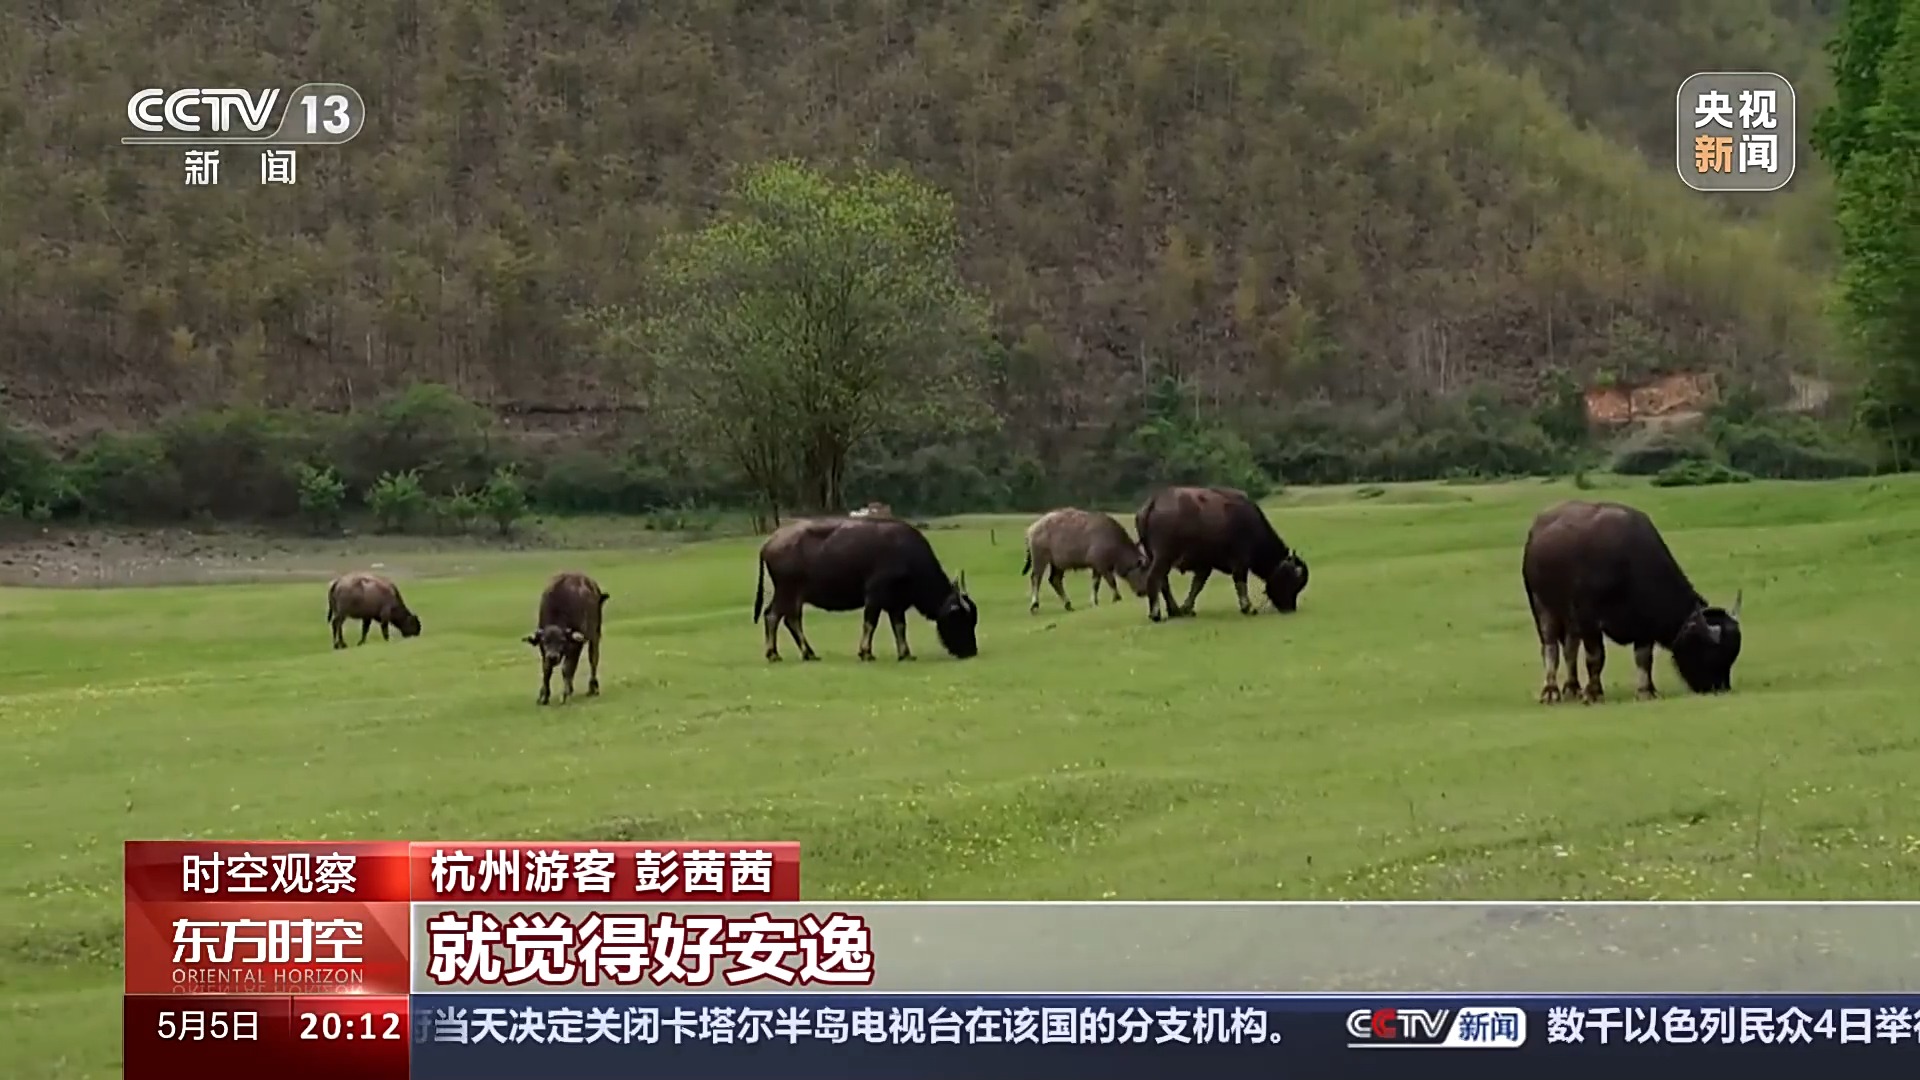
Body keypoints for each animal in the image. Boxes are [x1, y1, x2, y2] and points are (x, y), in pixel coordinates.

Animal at [522, 568, 610, 703]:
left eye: (562, 640)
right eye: (544, 641)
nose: (553, 656)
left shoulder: (576, 644)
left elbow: (567, 668)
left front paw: (564, 694)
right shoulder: (544, 651)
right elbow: (546, 669)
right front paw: (544, 695)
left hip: (595, 633)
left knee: (593, 658)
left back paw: (593, 688)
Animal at [756, 511, 983, 657]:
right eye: (960, 618)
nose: (971, 651)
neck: (907, 556)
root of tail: (770, 542)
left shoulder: (896, 603)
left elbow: (899, 626)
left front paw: (905, 653)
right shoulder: (875, 596)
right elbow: (870, 623)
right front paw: (865, 652)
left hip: (792, 594)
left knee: (785, 618)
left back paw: (804, 653)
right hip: (787, 591)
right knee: (777, 617)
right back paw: (778, 653)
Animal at [1128, 484, 1313, 618]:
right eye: (1292, 581)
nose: (1290, 608)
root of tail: (1155, 500)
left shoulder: (1205, 565)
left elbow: (1197, 585)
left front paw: (1187, 608)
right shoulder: (1240, 561)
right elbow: (1240, 582)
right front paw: (1248, 607)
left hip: (1155, 556)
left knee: (1163, 582)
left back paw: (1174, 610)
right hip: (1163, 556)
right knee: (1154, 579)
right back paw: (1156, 614)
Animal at [1528, 495, 1743, 699]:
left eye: (1732, 655)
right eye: (1711, 653)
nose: (1720, 688)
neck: (1629, 565)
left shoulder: (1644, 624)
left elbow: (1643, 658)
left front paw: (1646, 691)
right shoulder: (1588, 618)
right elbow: (1596, 657)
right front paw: (1594, 693)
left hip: (1569, 618)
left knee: (1570, 649)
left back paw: (1572, 689)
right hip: (1542, 607)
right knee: (1551, 648)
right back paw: (1551, 691)